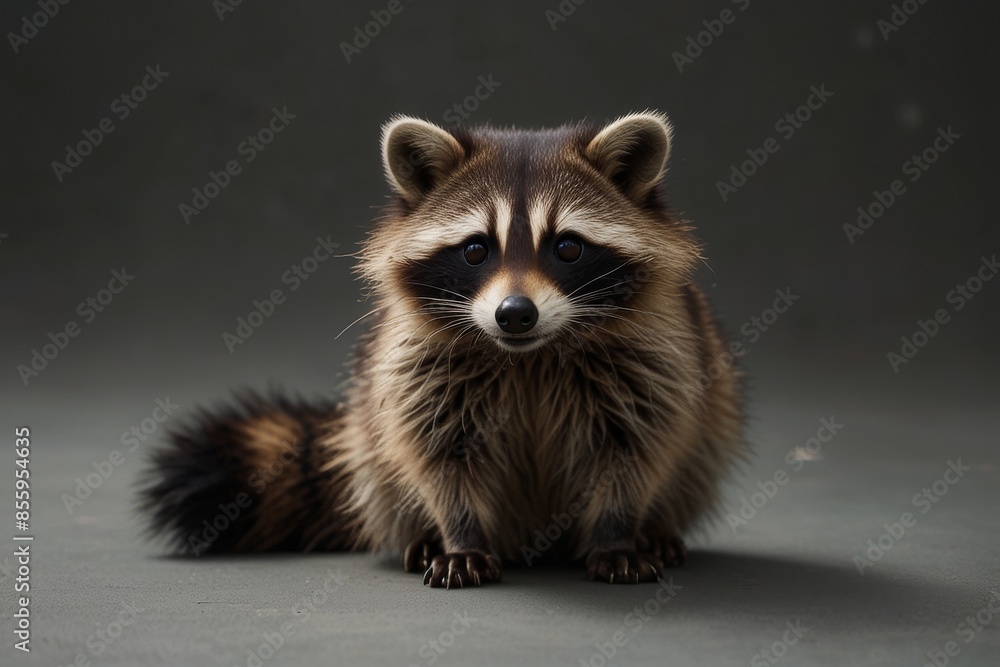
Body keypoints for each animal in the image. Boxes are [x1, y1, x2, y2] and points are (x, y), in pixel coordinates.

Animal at [139, 112, 744, 588]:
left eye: (568, 247)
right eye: (476, 249)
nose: (515, 313)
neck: (527, 356)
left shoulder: (651, 360)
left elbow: (633, 451)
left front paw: (618, 534)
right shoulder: (416, 365)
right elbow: (439, 457)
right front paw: (460, 536)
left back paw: (656, 532)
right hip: (367, 441)